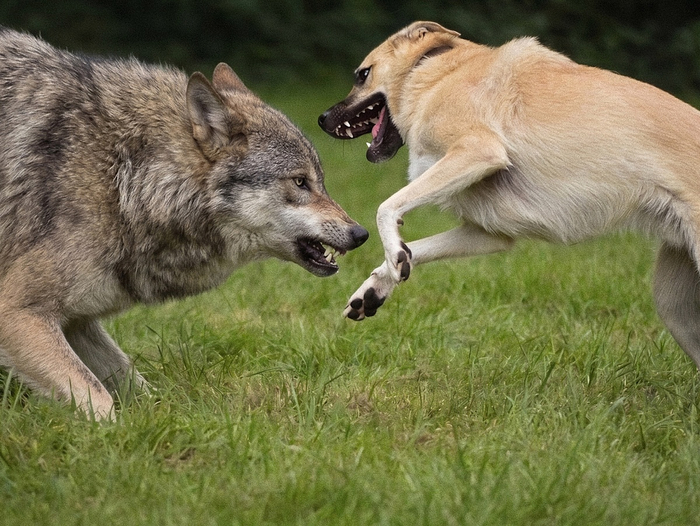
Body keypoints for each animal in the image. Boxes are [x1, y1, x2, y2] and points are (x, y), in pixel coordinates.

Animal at [0, 28, 368, 419]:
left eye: (320, 181)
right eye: (300, 182)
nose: (361, 234)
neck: (125, 178)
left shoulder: (78, 322)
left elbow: (138, 387)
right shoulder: (18, 312)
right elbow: (100, 400)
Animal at [319, 21, 700, 368]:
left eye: (362, 74)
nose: (322, 119)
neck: (433, 73)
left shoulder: (478, 151)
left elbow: (386, 207)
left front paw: (394, 251)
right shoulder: (489, 233)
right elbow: (413, 250)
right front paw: (376, 287)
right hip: (674, 303)